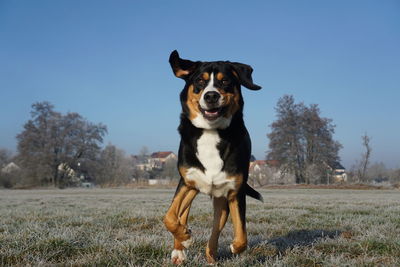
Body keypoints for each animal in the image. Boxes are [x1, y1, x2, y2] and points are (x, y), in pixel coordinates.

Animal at [162, 50, 262, 266]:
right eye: (200, 80)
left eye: (225, 82)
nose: (211, 95)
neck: (211, 131)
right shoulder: (187, 181)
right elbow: (170, 217)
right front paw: (185, 237)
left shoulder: (235, 191)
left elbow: (241, 236)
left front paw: (234, 247)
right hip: (191, 189)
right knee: (181, 215)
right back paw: (179, 249)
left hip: (220, 201)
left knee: (215, 231)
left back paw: (211, 256)